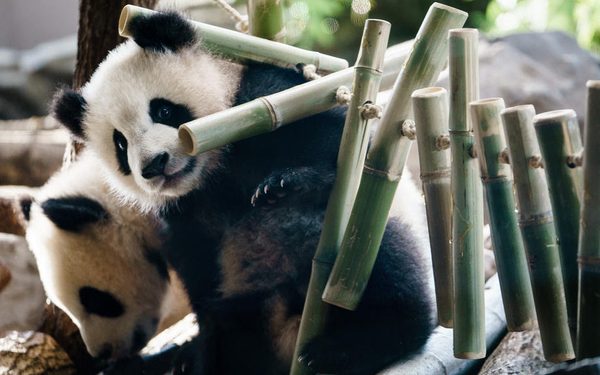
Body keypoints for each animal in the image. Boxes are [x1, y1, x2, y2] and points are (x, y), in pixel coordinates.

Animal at [50, 10, 436, 374]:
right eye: (120, 144)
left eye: (163, 109)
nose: (154, 165)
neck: (215, 169)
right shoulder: (184, 215)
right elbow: (201, 277)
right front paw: (194, 355)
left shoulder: (269, 99)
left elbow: (344, 151)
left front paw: (284, 184)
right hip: (251, 304)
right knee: (234, 327)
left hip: (358, 254)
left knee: (374, 255)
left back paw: (349, 346)